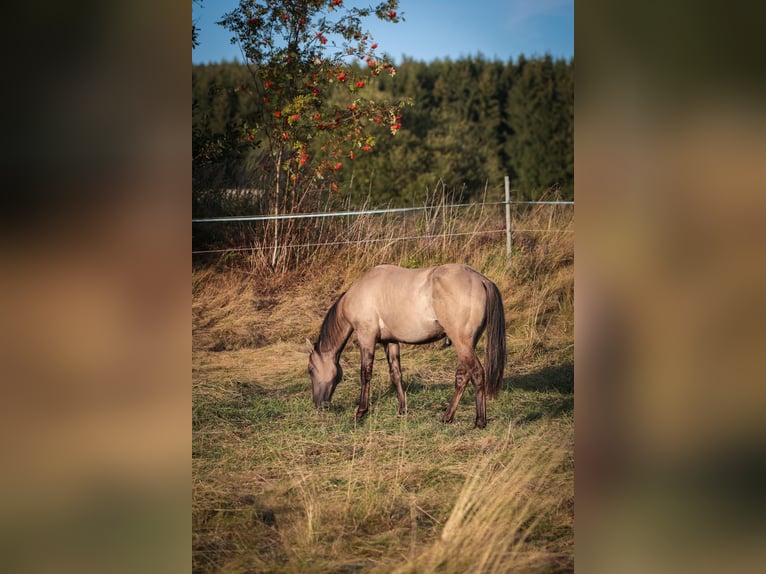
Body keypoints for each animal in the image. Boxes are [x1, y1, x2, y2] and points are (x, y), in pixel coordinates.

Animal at [307, 264, 506, 428]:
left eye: (310, 370)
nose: (318, 405)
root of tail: (481, 280)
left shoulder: (366, 338)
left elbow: (365, 374)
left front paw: (360, 412)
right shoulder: (390, 341)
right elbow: (396, 374)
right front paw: (402, 409)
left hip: (462, 343)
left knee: (477, 374)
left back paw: (479, 421)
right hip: (466, 344)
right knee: (463, 376)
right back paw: (447, 417)